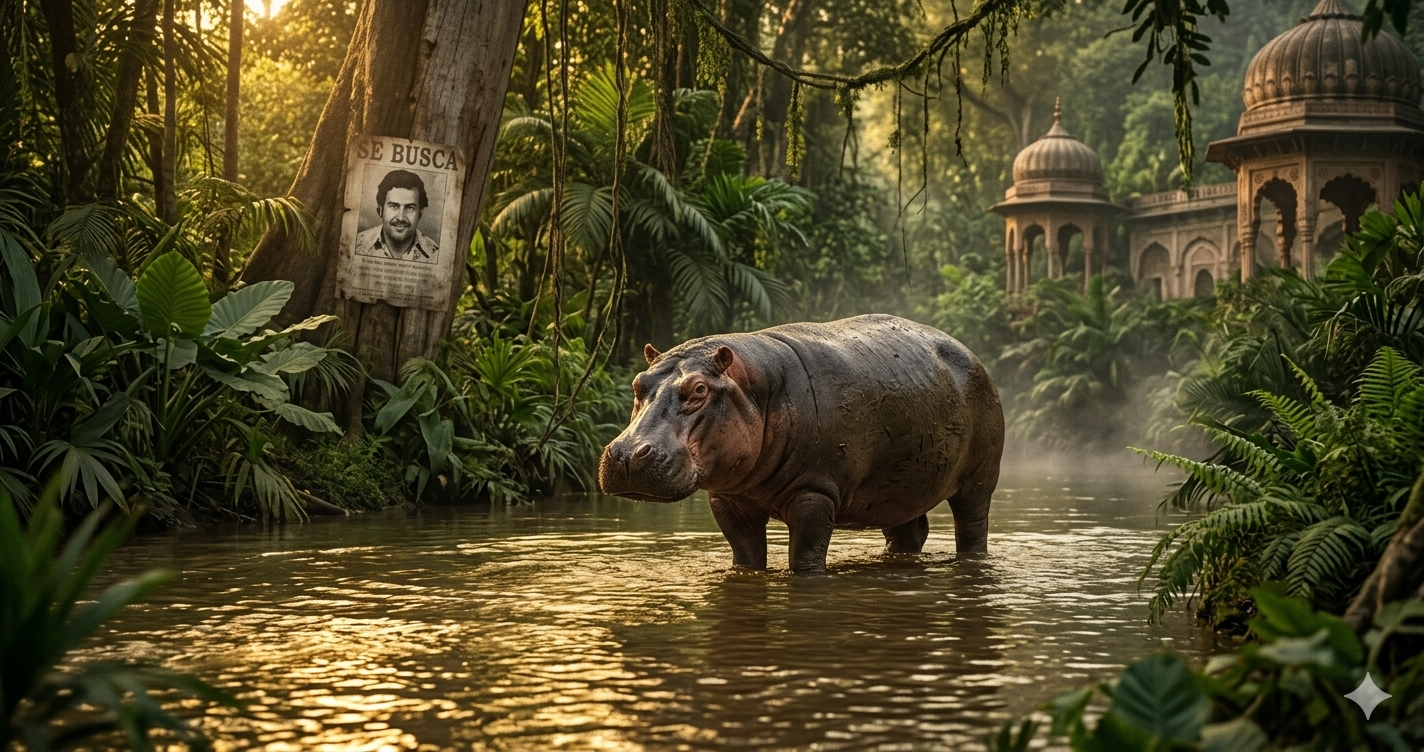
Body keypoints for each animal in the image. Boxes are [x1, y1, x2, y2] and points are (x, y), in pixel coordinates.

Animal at [598, 314, 1004, 573]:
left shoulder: (814, 493)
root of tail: (971, 354)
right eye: (638, 383)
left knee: (972, 527)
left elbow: (805, 558)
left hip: (978, 481)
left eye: (699, 389)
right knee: (909, 530)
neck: (755, 386)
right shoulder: (729, 499)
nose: (627, 454)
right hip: (897, 490)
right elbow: (746, 558)